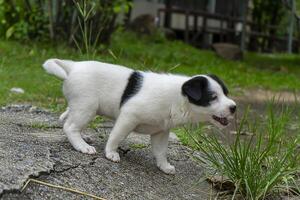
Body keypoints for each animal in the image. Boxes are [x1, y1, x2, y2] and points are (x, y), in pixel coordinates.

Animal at [42, 58, 236, 174]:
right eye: (213, 97)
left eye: (226, 93)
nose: (234, 107)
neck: (178, 97)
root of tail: (73, 66)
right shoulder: (128, 117)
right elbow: (116, 136)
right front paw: (111, 152)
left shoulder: (161, 132)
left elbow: (161, 151)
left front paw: (164, 166)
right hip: (87, 107)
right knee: (70, 126)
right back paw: (82, 145)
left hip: (82, 107)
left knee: (67, 116)